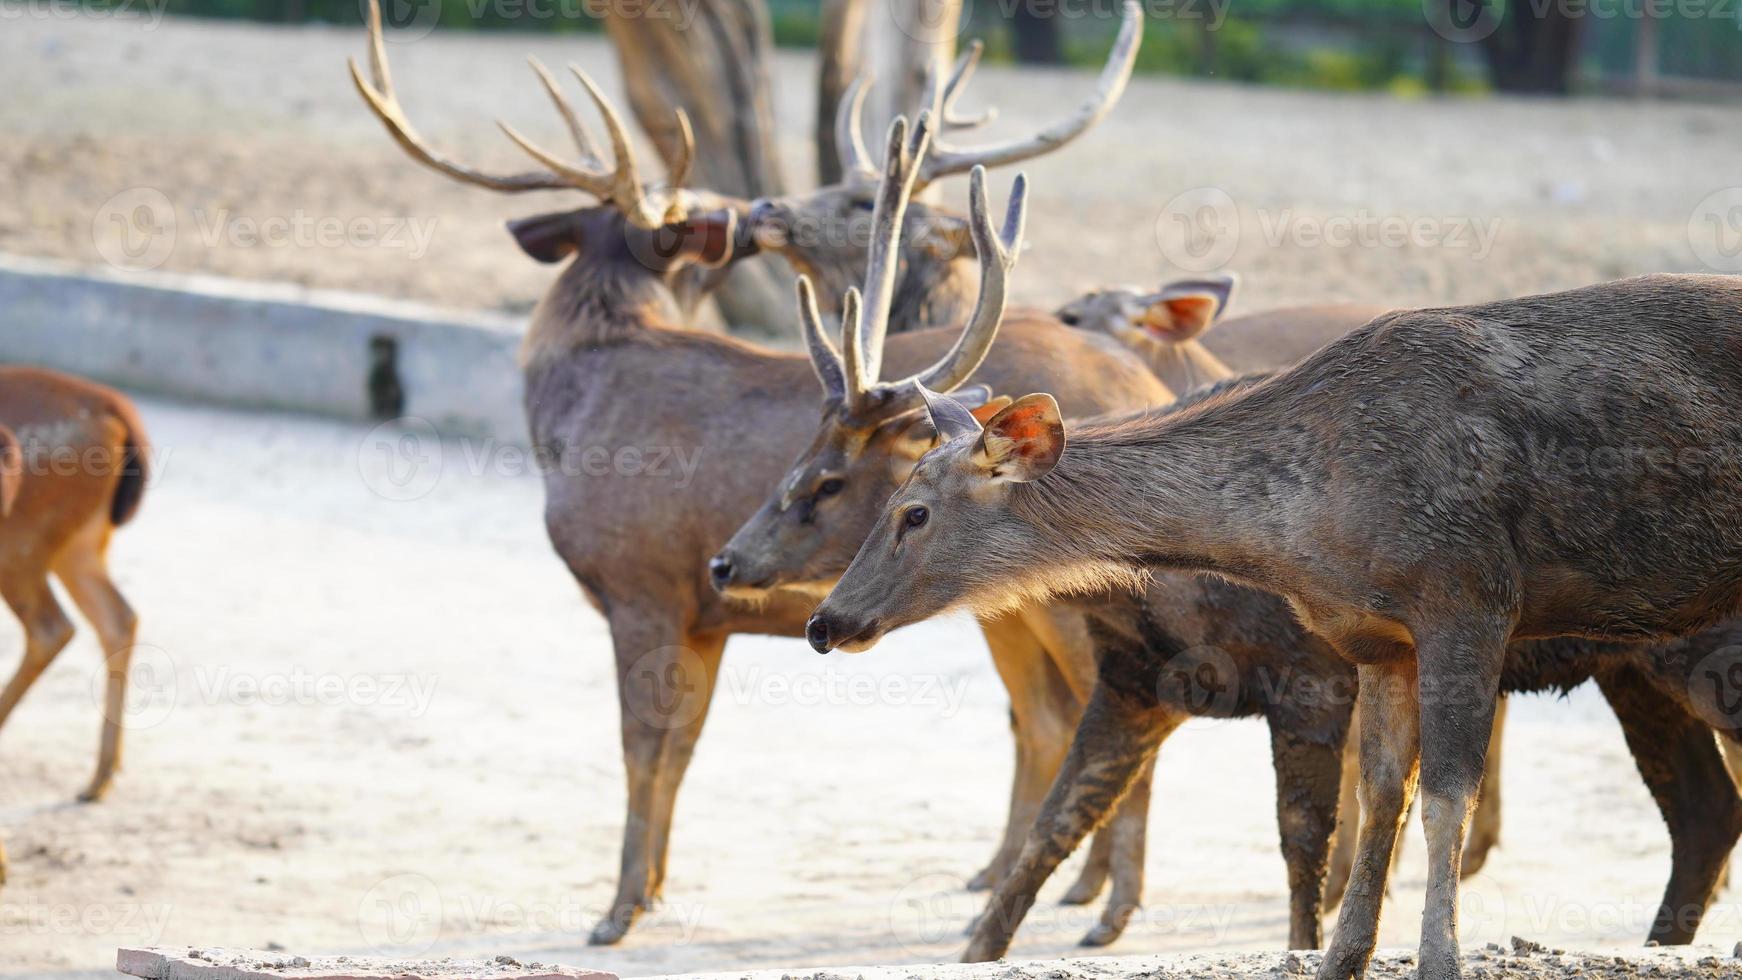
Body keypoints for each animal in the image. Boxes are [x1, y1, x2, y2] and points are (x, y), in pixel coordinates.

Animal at [0, 369, 150, 821]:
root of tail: (117, 412)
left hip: (21, 541)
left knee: (51, 627)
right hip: (81, 541)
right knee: (118, 616)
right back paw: (99, 779)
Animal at [350, 3, 1170, 946]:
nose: (747, 215)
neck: (574, 408)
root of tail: (1152, 382)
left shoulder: (640, 585)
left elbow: (639, 749)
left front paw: (615, 912)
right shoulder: (703, 612)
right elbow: (682, 748)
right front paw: (654, 889)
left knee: (1101, 719)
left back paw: (1103, 907)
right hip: (1010, 604)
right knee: (1049, 719)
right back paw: (1051, 887)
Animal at [811, 269, 1742, 980]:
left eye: (914, 513)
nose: (826, 621)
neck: (1307, 531)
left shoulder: (1469, 596)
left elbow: (1444, 799)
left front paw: (1440, 959)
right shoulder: (1375, 640)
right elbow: (1380, 795)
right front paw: (1342, 958)